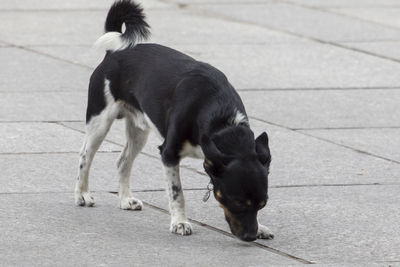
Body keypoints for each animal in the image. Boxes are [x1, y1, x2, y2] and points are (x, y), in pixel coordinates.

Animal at [75, 0, 274, 243]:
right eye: (236, 202)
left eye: (263, 204)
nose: (250, 237)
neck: (221, 117)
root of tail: (115, 52)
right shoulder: (168, 154)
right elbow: (177, 193)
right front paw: (180, 222)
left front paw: (261, 226)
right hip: (100, 120)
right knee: (85, 157)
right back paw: (82, 195)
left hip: (139, 131)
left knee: (123, 162)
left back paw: (124, 200)